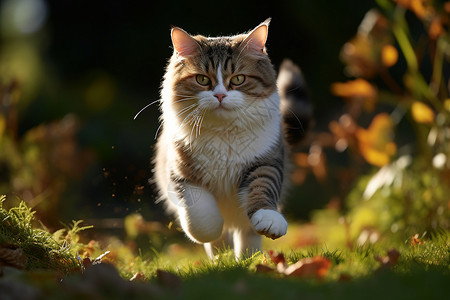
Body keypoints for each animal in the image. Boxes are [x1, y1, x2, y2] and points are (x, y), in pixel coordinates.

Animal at [153, 18, 308, 258]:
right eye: (202, 79)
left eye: (238, 79)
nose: (219, 95)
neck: (223, 133)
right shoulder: (181, 174)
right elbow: (202, 215)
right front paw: (211, 231)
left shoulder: (266, 161)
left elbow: (263, 188)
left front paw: (269, 221)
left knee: (247, 235)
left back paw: (247, 259)